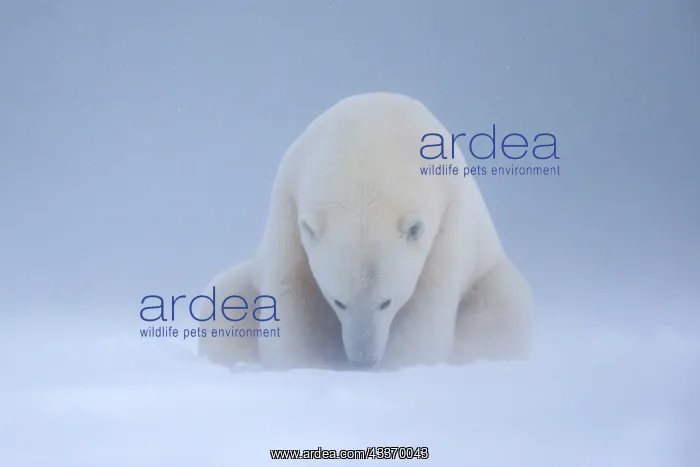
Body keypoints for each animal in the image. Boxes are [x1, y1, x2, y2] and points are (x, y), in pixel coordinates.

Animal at [197, 92, 534, 371]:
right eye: (338, 301)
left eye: (386, 301)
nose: (363, 360)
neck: (368, 141)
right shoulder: (289, 207)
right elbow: (290, 293)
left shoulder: (448, 220)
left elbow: (426, 308)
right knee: (223, 300)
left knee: (505, 306)